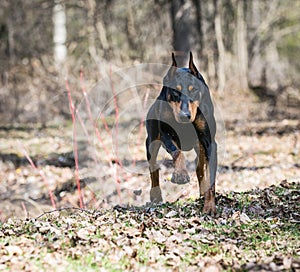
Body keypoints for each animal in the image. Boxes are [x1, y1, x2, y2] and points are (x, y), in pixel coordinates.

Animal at [146, 52, 218, 215]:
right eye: (175, 91)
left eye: (194, 90)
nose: (185, 115)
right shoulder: (166, 134)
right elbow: (176, 152)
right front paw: (180, 174)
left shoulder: (209, 142)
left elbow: (210, 177)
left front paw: (209, 206)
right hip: (151, 142)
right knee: (153, 167)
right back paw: (155, 195)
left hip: (199, 145)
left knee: (200, 166)